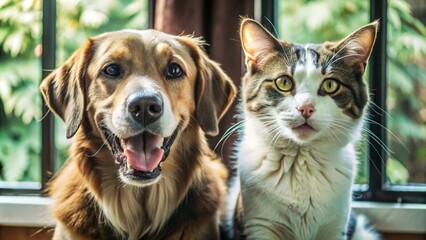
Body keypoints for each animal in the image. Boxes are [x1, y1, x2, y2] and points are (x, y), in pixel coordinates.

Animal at [235, 17, 382, 240]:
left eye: (331, 85)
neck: (301, 162)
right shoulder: (259, 225)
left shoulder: (335, 226)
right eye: (283, 82)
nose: (306, 107)